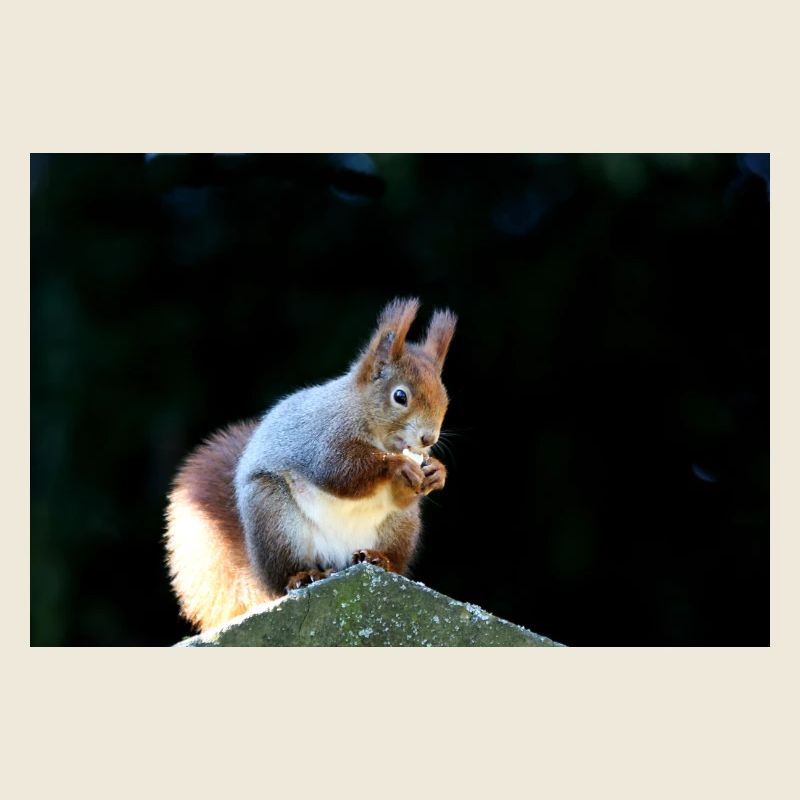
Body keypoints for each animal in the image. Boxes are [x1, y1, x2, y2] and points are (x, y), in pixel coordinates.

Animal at [164, 297, 456, 631]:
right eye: (400, 396)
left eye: (445, 398)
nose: (428, 437)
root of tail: (337, 559)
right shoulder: (322, 440)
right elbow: (340, 472)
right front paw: (395, 467)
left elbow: (402, 494)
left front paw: (436, 472)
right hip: (274, 518)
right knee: (285, 574)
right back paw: (303, 576)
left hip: (400, 526)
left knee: (393, 552)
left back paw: (380, 559)